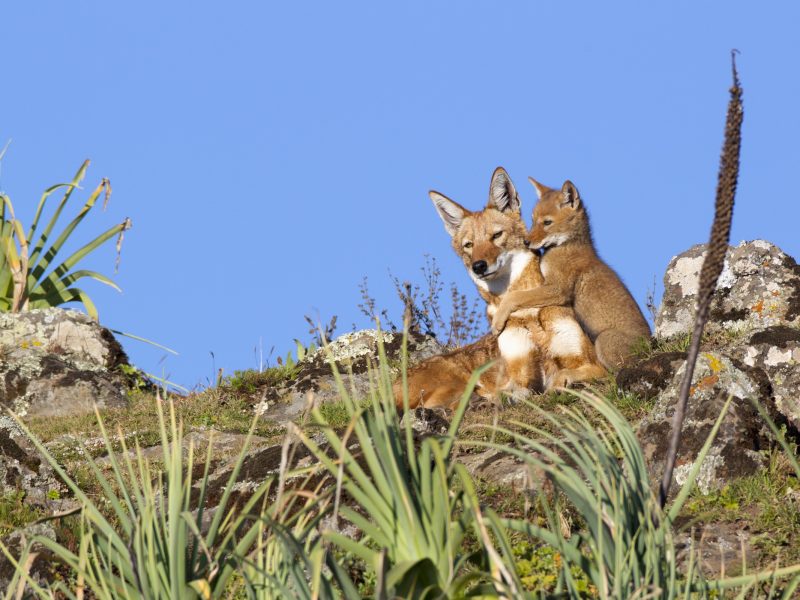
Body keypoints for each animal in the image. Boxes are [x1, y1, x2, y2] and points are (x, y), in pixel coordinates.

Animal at [491, 178, 651, 370]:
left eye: (547, 222)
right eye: (533, 220)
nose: (526, 241)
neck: (566, 246)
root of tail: (651, 345)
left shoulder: (558, 290)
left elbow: (514, 297)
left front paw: (497, 321)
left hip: (604, 341)